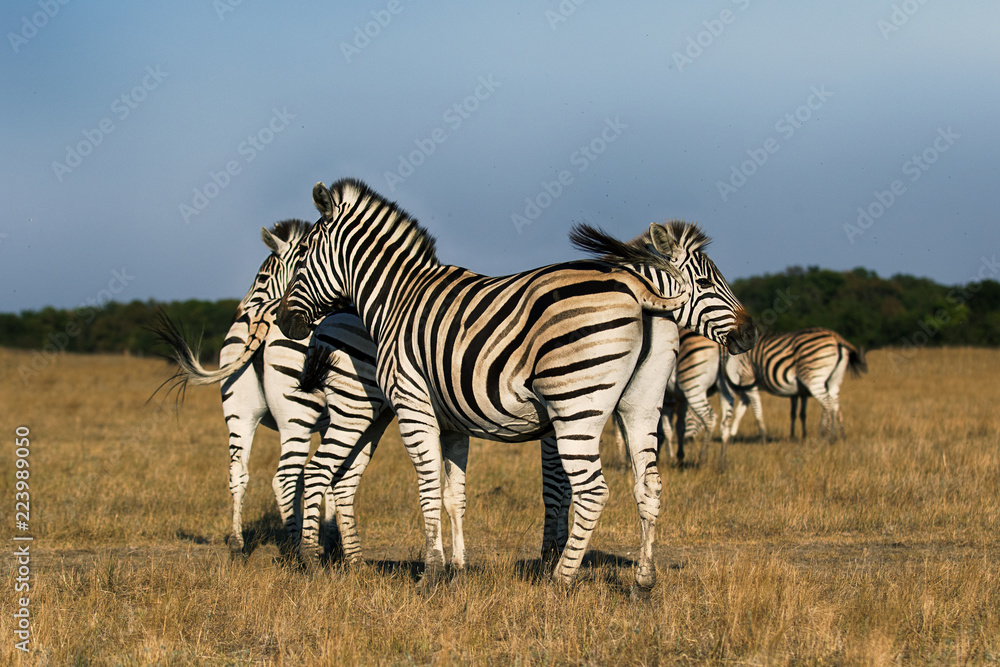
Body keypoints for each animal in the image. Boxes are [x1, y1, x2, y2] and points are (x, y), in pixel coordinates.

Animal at [156, 219, 392, 559]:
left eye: (262, 278)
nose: (236, 311)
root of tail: (262, 317)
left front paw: (324, 537)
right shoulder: (331, 417)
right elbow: (324, 477)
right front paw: (327, 540)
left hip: (239, 410)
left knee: (238, 471)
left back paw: (238, 543)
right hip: (296, 411)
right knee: (284, 477)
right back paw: (295, 549)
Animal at [276, 178, 757, 590]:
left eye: (301, 259)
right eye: (705, 281)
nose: (286, 322)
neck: (397, 296)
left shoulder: (417, 407)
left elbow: (436, 489)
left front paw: (434, 573)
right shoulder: (452, 421)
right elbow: (455, 495)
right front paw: (458, 570)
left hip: (566, 406)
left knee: (593, 491)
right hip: (636, 405)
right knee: (649, 485)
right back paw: (642, 581)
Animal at [720, 327, 867, 440]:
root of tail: (836, 337)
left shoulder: (748, 379)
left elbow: (756, 410)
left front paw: (763, 437)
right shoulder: (797, 392)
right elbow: (796, 413)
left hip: (814, 379)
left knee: (828, 405)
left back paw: (825, 435)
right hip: (833, 381)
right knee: (835, 405)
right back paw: (839, 435)